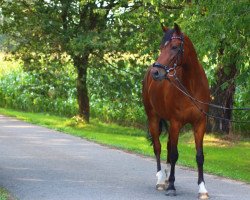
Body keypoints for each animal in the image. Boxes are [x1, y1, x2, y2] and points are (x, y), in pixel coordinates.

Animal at [143, 23, 211, 198]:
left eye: (174, 47)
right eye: (161, 48)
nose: (156, 72)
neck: (191, 87)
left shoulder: (200, 123)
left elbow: (199, 156)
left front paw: (202, 189)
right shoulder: (176, 123)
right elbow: (174, 154)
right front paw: (172, 186)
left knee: (167, 146)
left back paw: (166, 179)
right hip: (153, 118)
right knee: (158, 147)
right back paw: (161, 180)